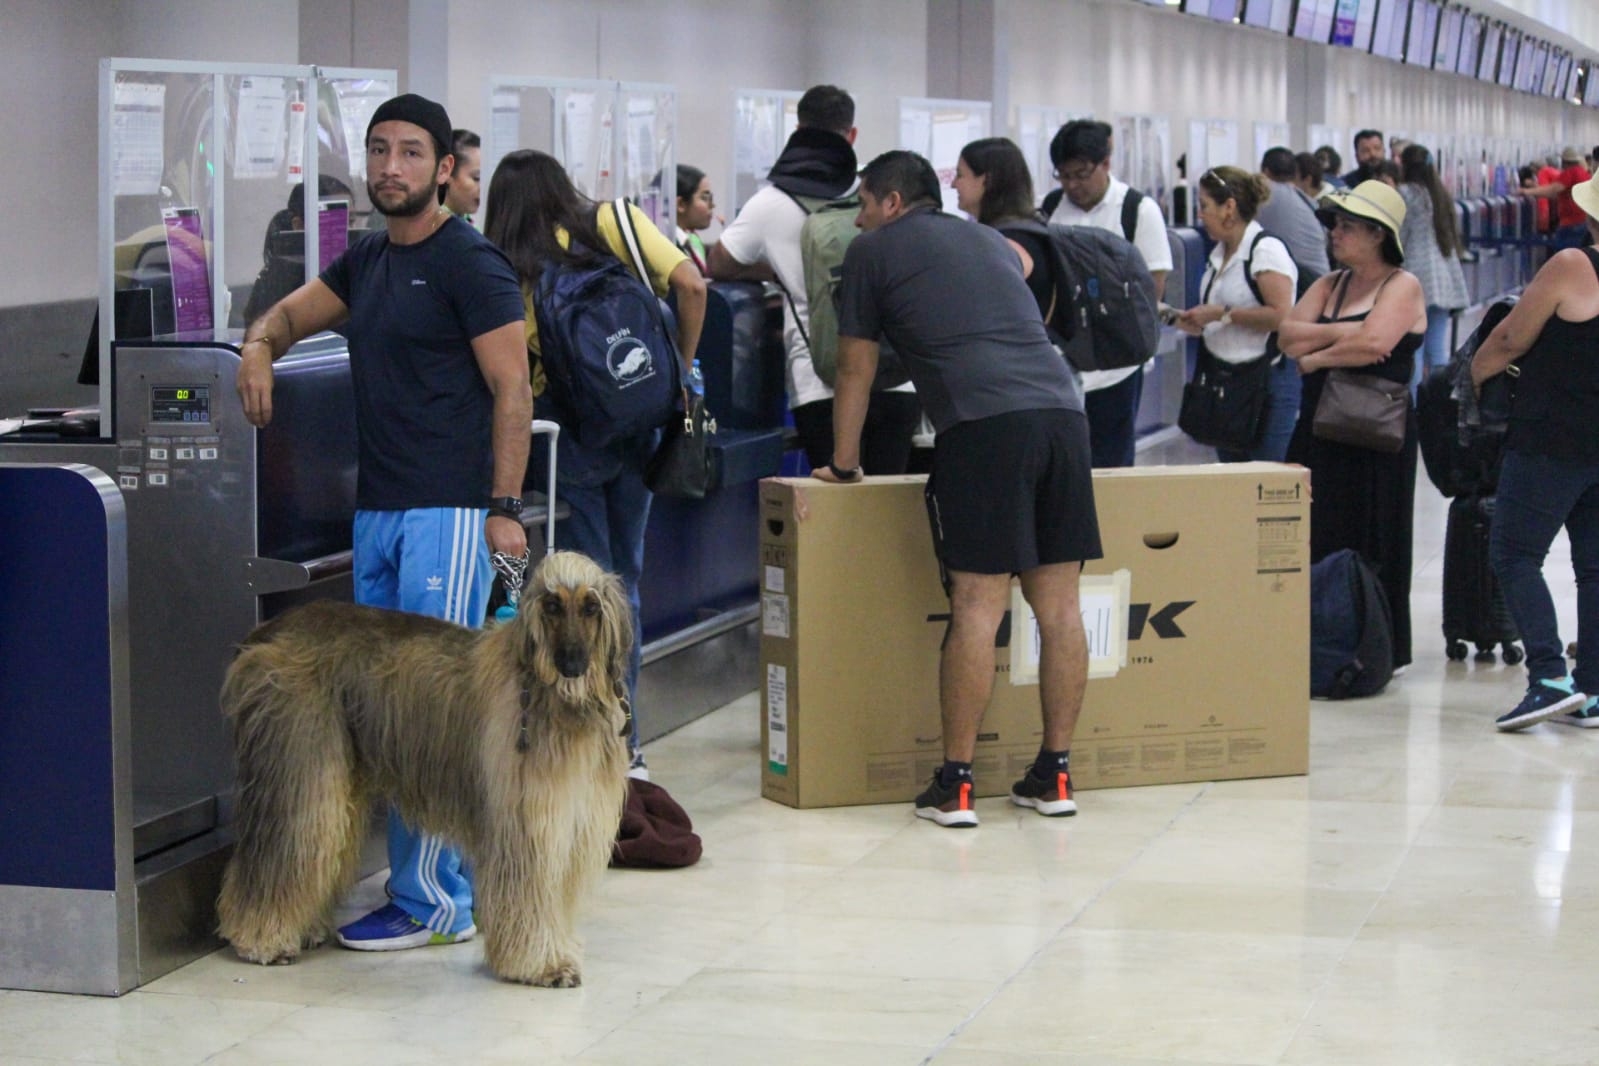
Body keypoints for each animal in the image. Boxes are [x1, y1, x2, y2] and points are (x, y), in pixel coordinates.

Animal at [214, 556, 636, 990]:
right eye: (552, 606)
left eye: (591, 607)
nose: (571, 664)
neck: (554, 697)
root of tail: (266, 631)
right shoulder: (525, 819)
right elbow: (529, 891)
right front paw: (541, 964)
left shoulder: (569, 815)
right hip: (301, 762)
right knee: (283, 848)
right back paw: (261, 939)